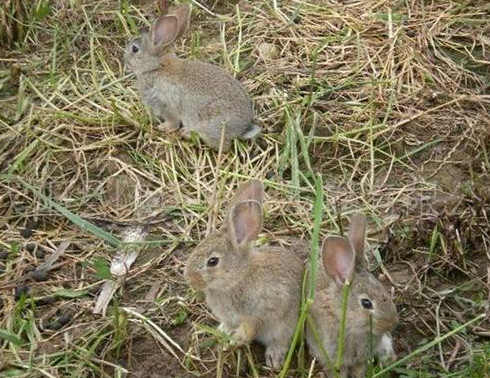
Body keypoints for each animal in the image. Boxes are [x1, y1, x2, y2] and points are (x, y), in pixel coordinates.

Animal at [123, 1, 260, 152]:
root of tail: (241, 128)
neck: (157, 67)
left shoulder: (167, 104)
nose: (125, 60)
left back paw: (187, 133)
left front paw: (163, 128)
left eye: (135, 49)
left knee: (221, 146)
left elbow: (173, 122)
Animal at [185, 180, 306, 370]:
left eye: (212, 261)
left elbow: (251, 328)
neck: (237, 278)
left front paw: (234, 341)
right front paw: (223, 332)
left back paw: (274, 359)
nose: (188, 278)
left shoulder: (261, 310)